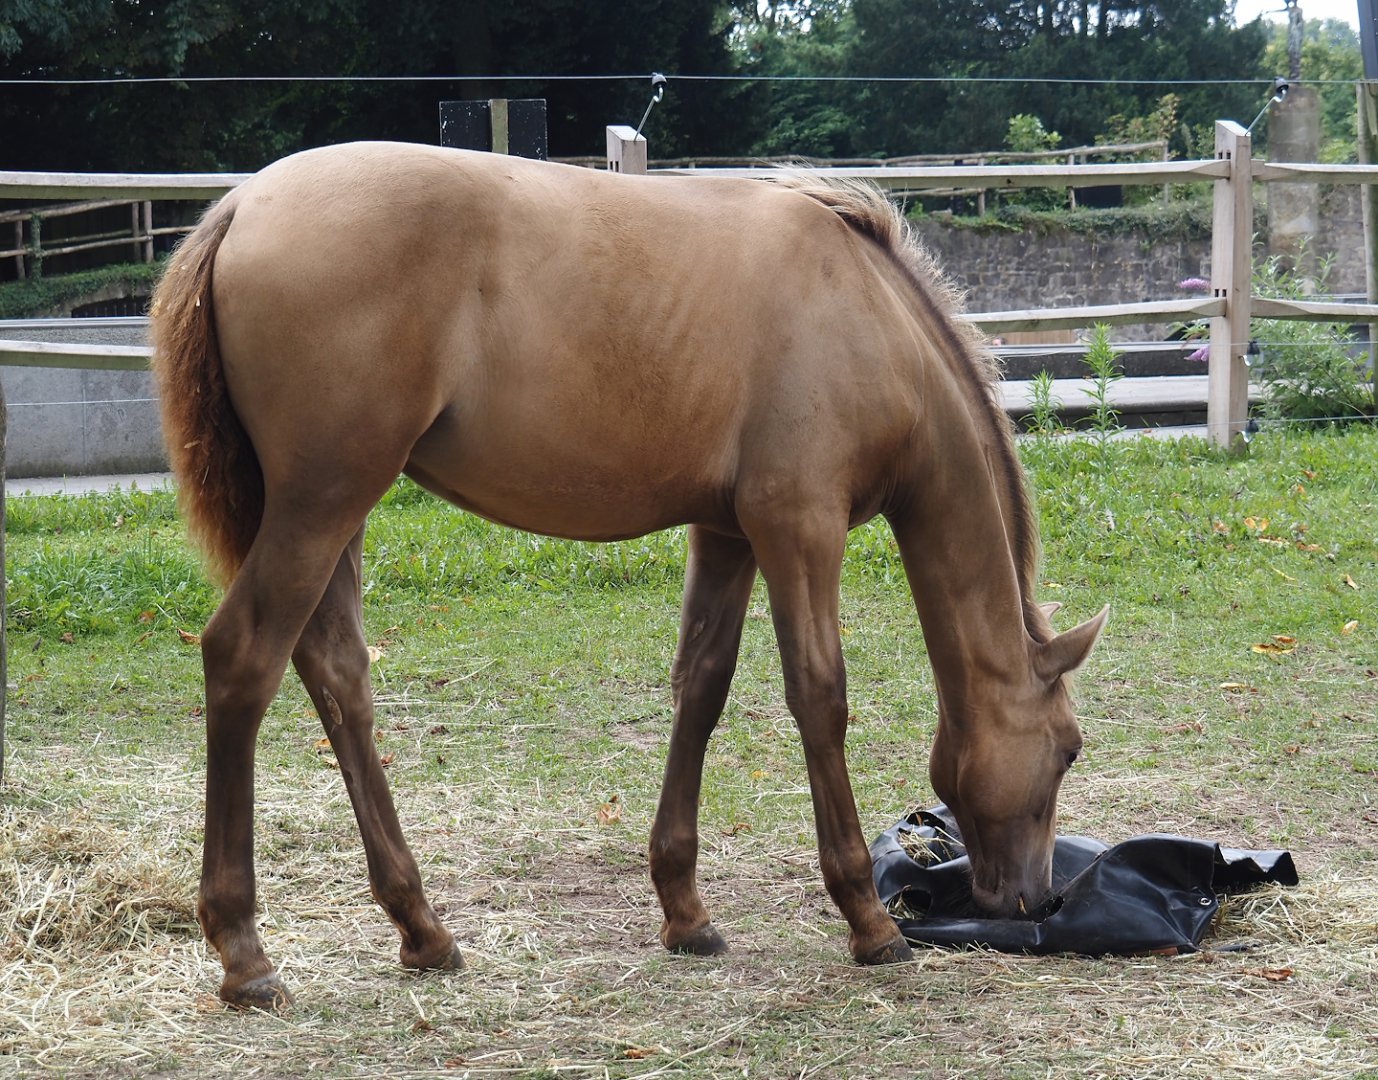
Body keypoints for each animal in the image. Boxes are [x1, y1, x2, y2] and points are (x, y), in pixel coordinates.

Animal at [150, 142, 1106, 1009]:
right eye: (1067, 749)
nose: (1037, 899)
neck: (868, 311)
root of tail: (241, 206)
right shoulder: (800, 527)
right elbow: (819, 696)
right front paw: (868, 921)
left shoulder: (728, 534)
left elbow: (702, 686)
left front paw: (685, 912)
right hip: (323, 500)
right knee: (242, 657)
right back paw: (245, 953)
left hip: (333, 510)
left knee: (339, 675)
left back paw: (421, 928)